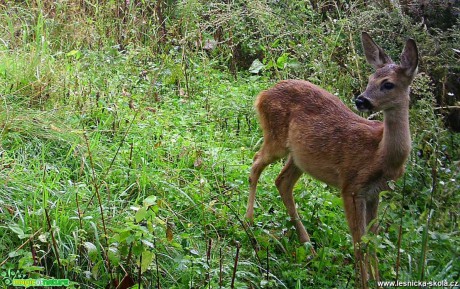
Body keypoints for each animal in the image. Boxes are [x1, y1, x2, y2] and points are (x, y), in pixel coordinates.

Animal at [246, 32, 418, 286]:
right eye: (370, 79)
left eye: (388, 83)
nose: (361, 100)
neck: (380, 155)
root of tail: (262, 95)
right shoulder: (351, 187)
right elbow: (359, 242)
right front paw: (363, 283)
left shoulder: (374, 193)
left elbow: (372, 241)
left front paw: (377, 281)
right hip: (276, 139)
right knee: (256, 162)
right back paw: (249, 221)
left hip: (300, 158)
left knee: (282, 182)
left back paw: (309, 248)